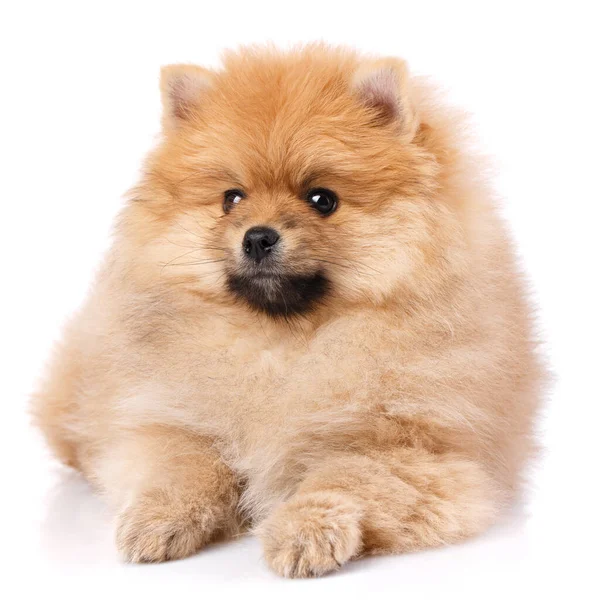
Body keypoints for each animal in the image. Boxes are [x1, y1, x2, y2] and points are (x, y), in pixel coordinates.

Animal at [30, 44, 540, 580]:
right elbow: (184, 466)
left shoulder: (420, 452)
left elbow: (345, 477)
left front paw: (305, 531)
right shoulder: (166, 420)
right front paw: (159, 518)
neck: (281, 345)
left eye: (322, 199)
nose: (257, 236)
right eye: (231, 198)